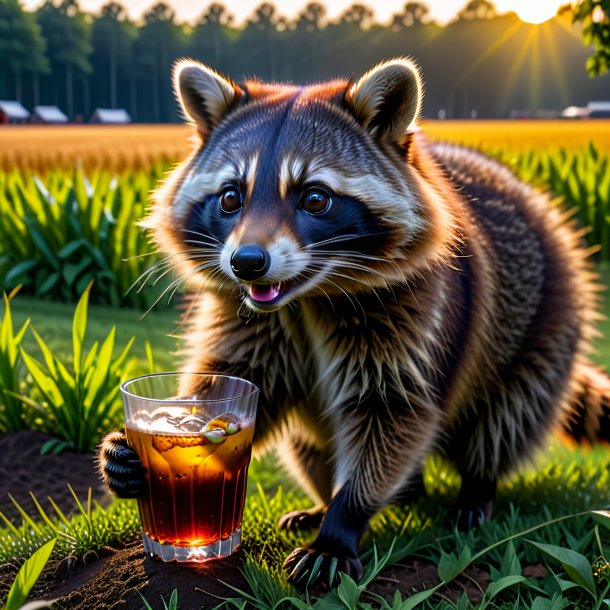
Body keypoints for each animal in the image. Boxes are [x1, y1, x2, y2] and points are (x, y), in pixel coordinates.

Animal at [100, 59, 608, 580]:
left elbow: (394, 413)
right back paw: (328, 499)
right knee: (307, 443)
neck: (305, 297)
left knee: (505, 417)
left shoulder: (416, 314)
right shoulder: (247, 319)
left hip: (547, 322)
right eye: (229, 197)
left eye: (314, 198)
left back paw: (476, 486)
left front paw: (344, 522)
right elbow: (232, 381)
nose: (247, 263)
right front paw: (147, 438)